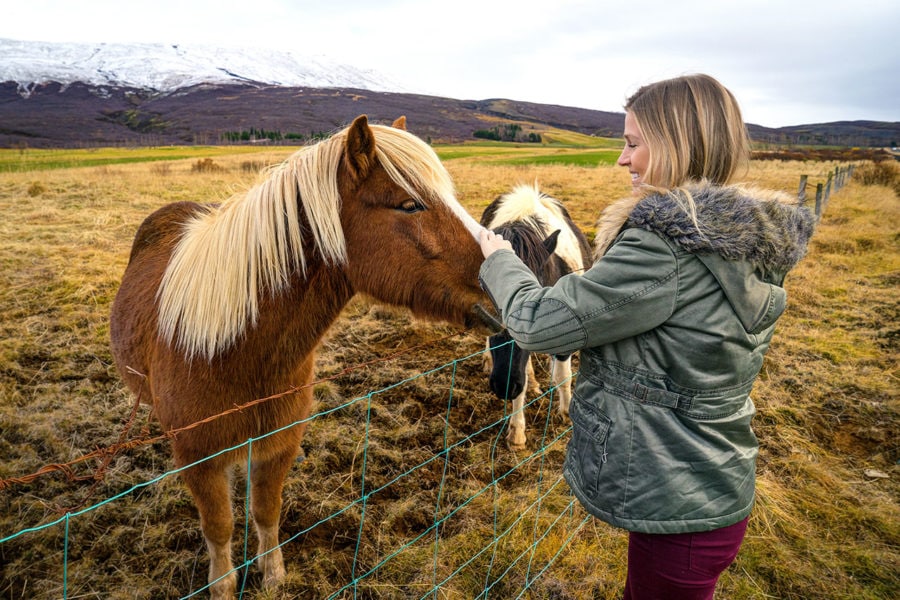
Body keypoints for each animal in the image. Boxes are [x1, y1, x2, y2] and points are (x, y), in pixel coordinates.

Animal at [109, 115, 499, 599]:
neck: (236, 351)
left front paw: (273, 575)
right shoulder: (201, 455)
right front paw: (222, 585)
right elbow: (219, 526)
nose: (504, 281)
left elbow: (266, 510)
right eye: (408, 205)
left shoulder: (280, 441)